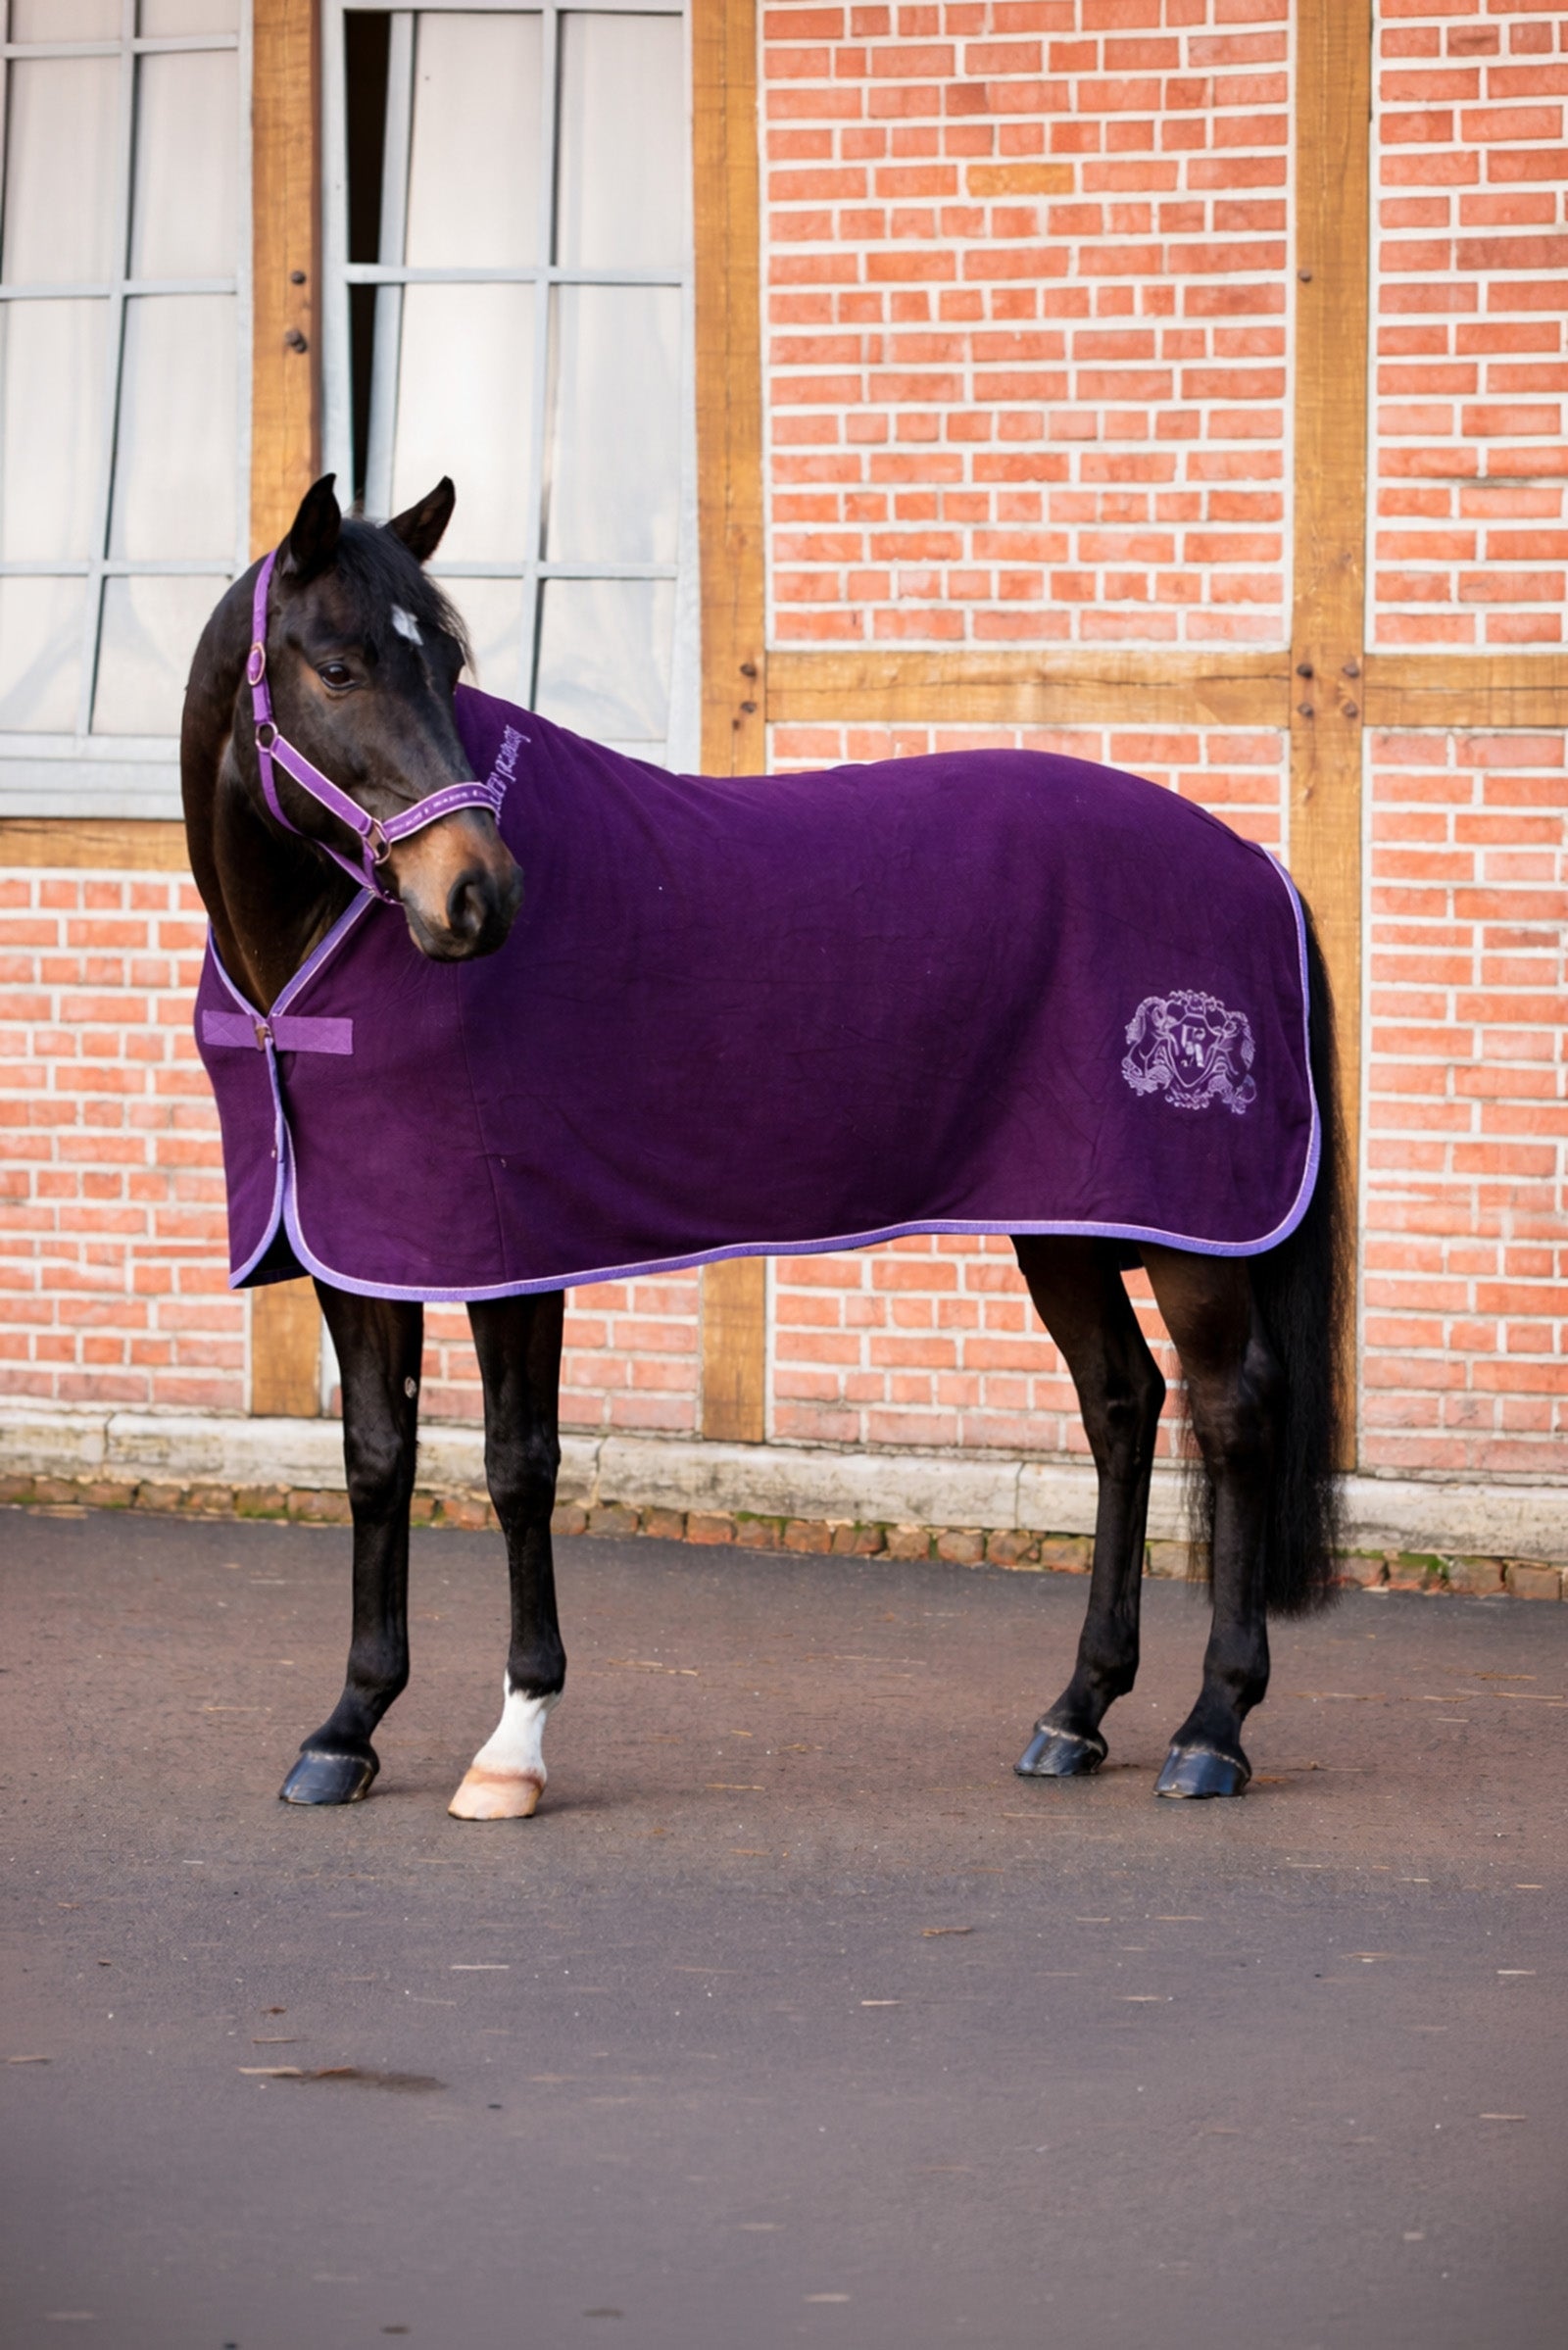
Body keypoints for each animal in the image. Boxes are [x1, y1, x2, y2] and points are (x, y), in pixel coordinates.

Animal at [181, 474, 1347, 1820]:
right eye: (336, 666)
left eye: (449, 666)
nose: (479, 896)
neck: (305, 968)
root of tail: (1254, 863)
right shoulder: (359, 1250)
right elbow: (376, 1461)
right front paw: (348, 1728)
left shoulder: (508, 1253)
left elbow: (518, 1466)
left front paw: (514, 1743)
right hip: (1066, 1216)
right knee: (1122, 1404)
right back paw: (1076, 1712)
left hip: (1189, 1231)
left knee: (1233, 1412)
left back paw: (1213, 1729)